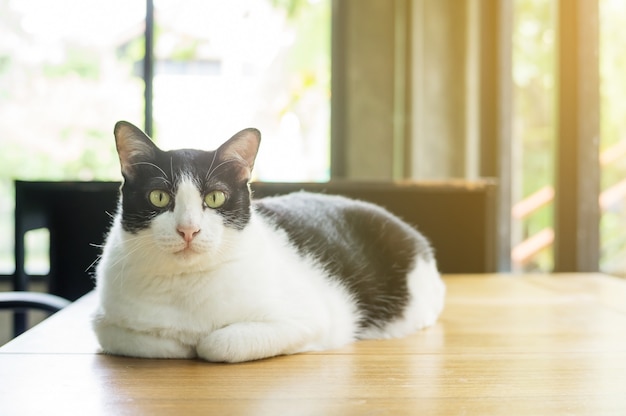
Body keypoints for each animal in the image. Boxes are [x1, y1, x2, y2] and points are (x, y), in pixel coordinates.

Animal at [91, 119, 444, 360]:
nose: (188, 229)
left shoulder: (312, 319)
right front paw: (181, 341)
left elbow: (216, 343)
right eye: (159, 197)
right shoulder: (104, 323)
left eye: (215, 197)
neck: (185, 286)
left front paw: (201, 342)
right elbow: (156, 342)